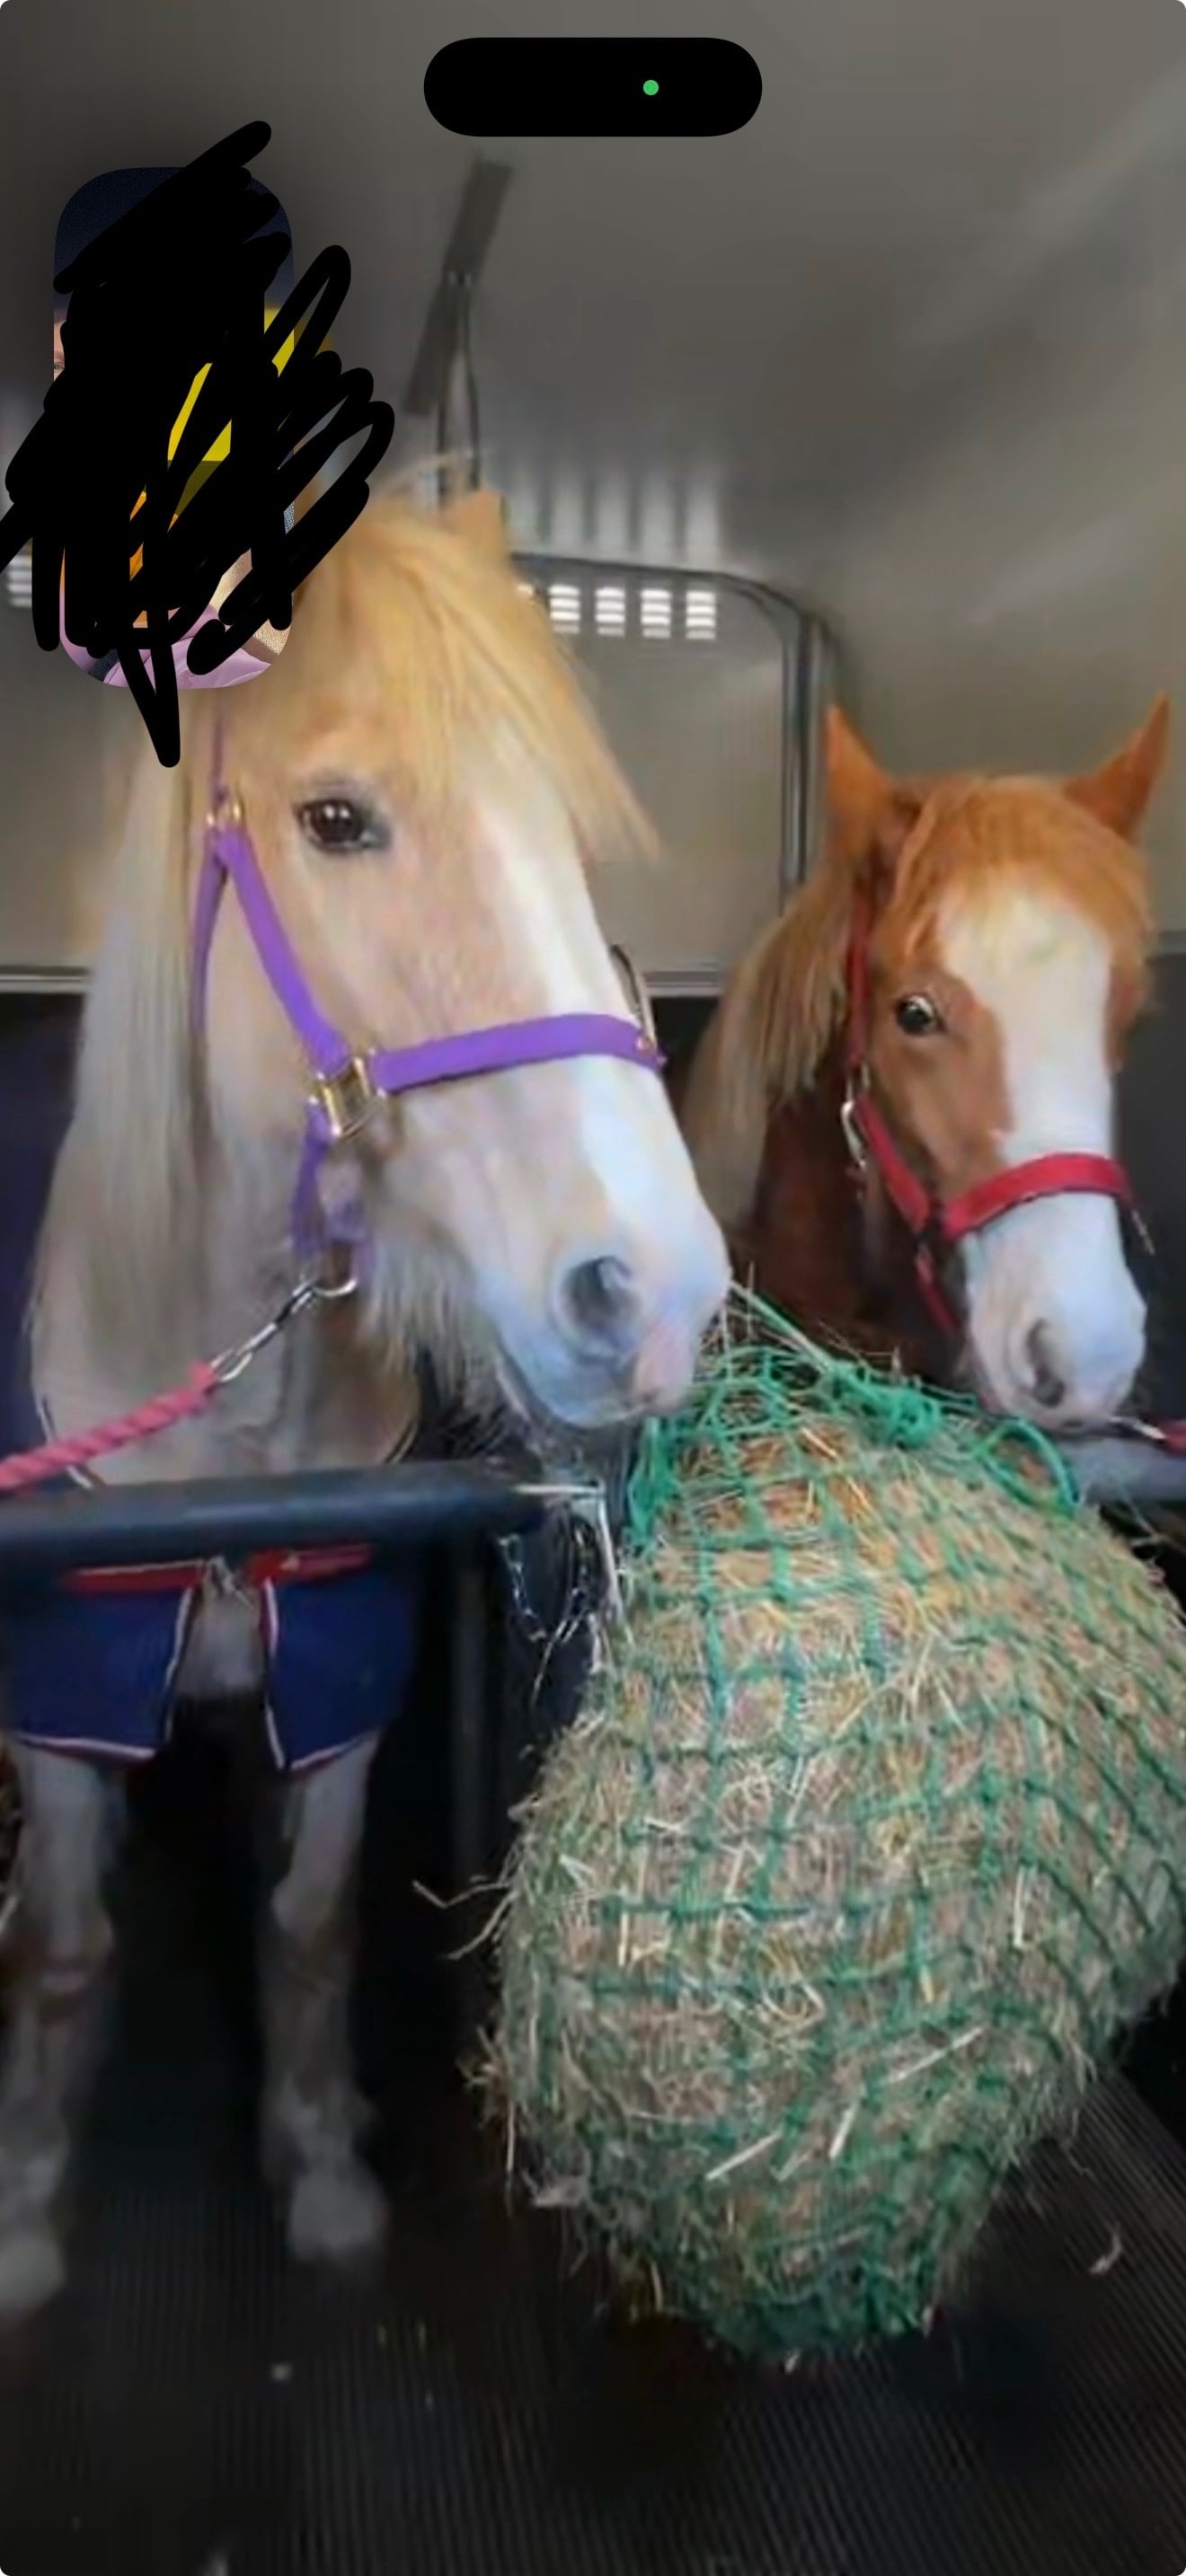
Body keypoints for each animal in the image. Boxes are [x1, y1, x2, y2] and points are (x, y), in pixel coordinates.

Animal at [0, 482, 729, 2320]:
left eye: (573, 843)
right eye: (338, 820)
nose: (658, 1291)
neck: (233, 1437)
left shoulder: (337, 1681)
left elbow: (313, 1924)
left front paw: (322, 2166)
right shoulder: (66, 1696)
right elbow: (60, 1945)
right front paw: (27, 2204)